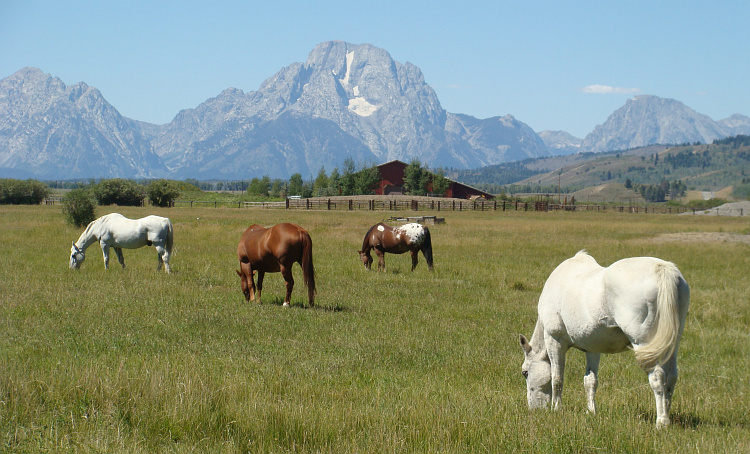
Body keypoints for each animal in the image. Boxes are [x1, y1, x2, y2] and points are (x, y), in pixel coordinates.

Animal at [520, 250, 692, 428]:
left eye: (525, 372)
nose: (534, 409)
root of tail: (662, 269)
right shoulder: (592, 349)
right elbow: (590, 381)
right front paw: (591, 411)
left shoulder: (554, 340)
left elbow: (557, 378)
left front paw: (556, 408)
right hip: (672, 344)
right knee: (671, 377)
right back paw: (667, 415)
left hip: (644, 344)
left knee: (657, 377)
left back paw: (661, 422)